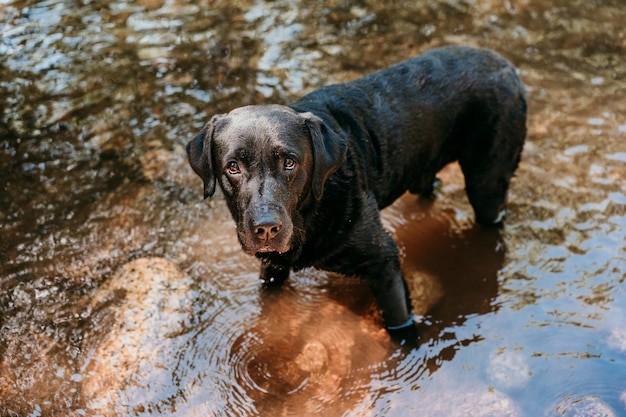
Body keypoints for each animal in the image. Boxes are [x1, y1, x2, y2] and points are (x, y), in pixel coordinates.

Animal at [188, 46, 524, 342]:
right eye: (233, 166)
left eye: (289, 162)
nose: (267, 227)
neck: (312, 214)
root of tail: (506, 65)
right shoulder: (272, 266)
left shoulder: (384, 262)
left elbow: (400, 326)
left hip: (486, 186)